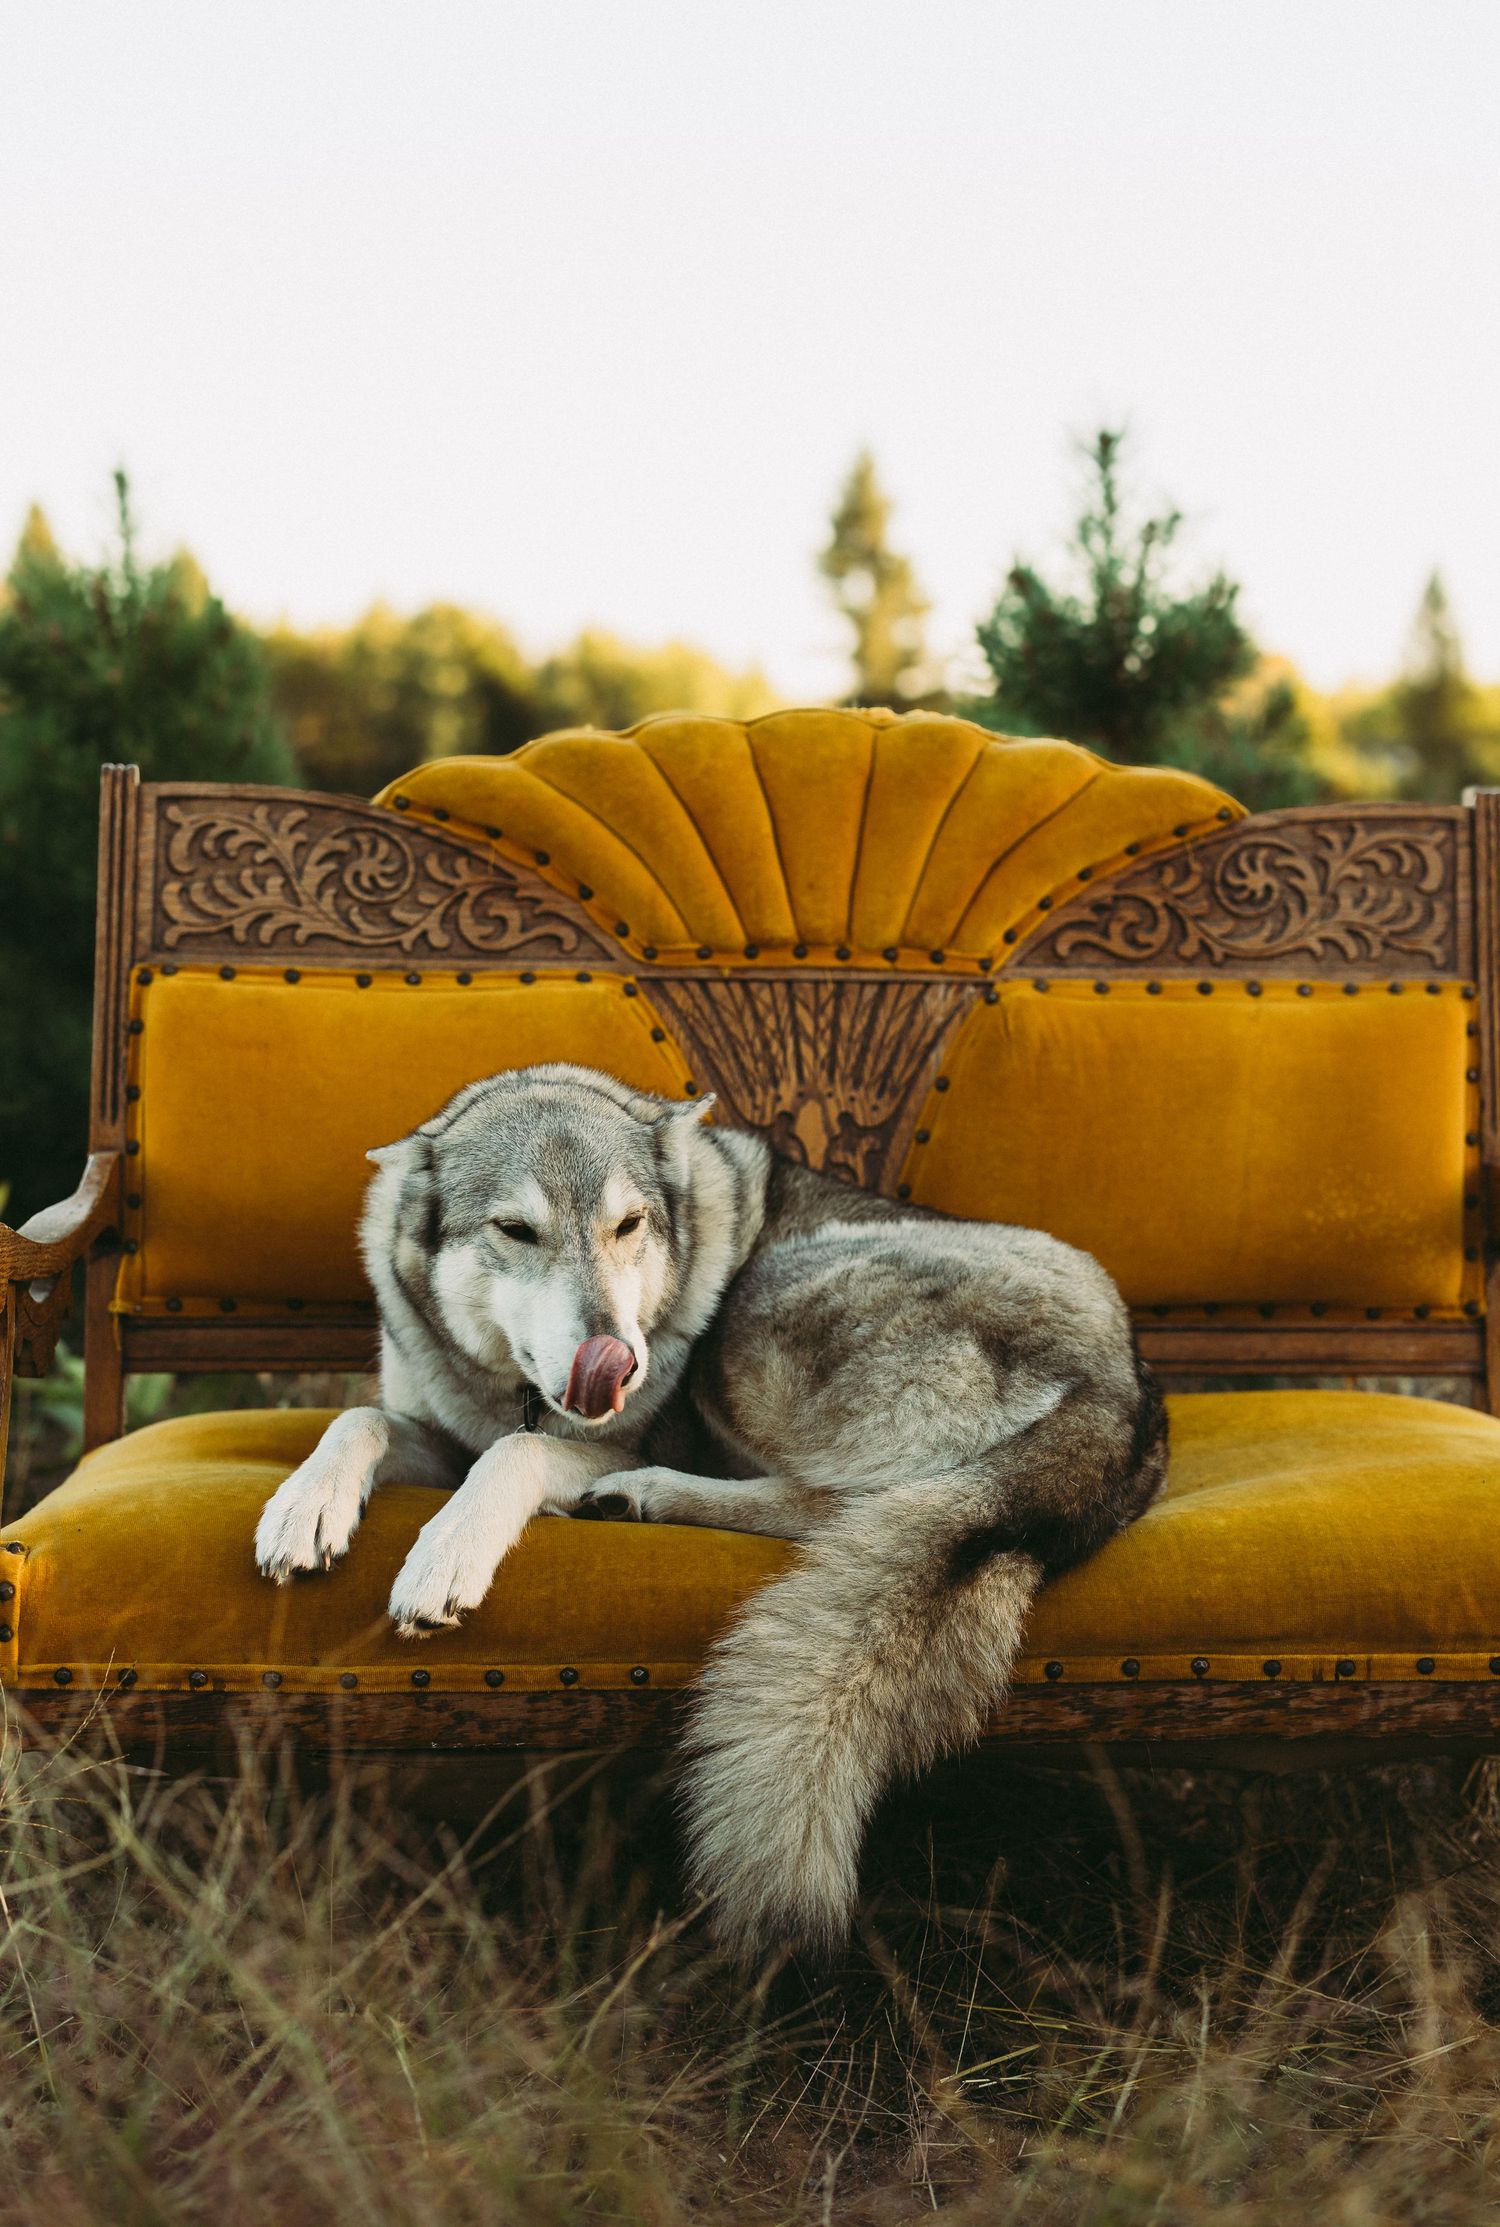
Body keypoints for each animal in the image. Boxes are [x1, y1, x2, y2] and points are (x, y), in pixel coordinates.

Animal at [254, 1062, 1166, 1957]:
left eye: (628, 1225)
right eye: (515, 1230)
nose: (618, 1362)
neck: (508, 1390)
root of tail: (1126, 1390)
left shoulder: (623, 1434)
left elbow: (513, 1454)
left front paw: (447, 1552)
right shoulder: (439, 1433)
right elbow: (358, 1416)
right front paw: (304, 1507)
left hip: (755, 1316)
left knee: (843, 1504)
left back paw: (643, 1496)